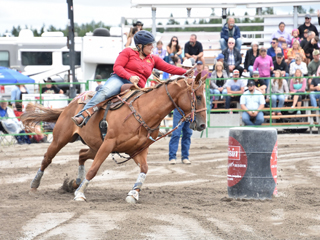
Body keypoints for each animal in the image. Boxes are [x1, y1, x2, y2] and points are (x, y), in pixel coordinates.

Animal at [21, 72, 208, 202]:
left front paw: (133, 194)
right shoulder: (109, 144)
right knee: (47, 158)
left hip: (95, 146)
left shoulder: (138, 150)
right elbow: (94, 169)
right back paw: (34, 186)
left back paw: (75, 182)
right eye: (198, 97)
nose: (202, 125)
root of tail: (72, 103)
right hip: (61, 139)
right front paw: (80, 194)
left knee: (81, 154)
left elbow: (145, 169)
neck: (143, 111)